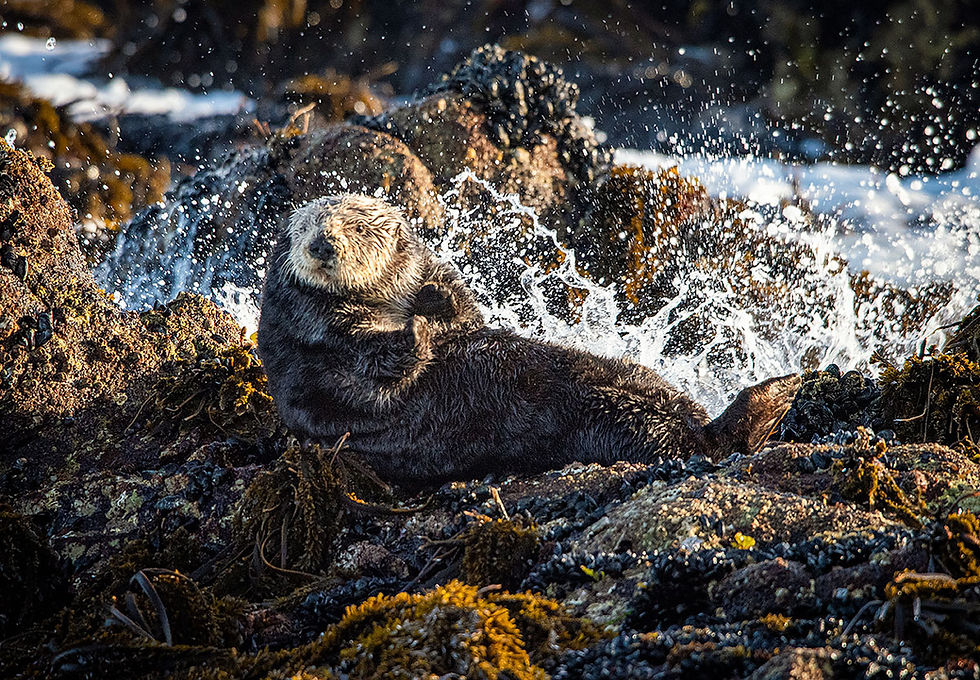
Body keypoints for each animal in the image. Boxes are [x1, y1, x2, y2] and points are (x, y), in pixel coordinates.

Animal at [258, 194, 800, 488]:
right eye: (304, 226)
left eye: (357, 225)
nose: (321, 244)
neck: (382, 302)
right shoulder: (320, 335)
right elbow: (375, 364)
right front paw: (416, 330)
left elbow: (464, 309)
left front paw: (433, 301)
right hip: (610, 422)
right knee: (694, 444)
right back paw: (774, 400)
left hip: (629, 376)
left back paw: (779, 394)